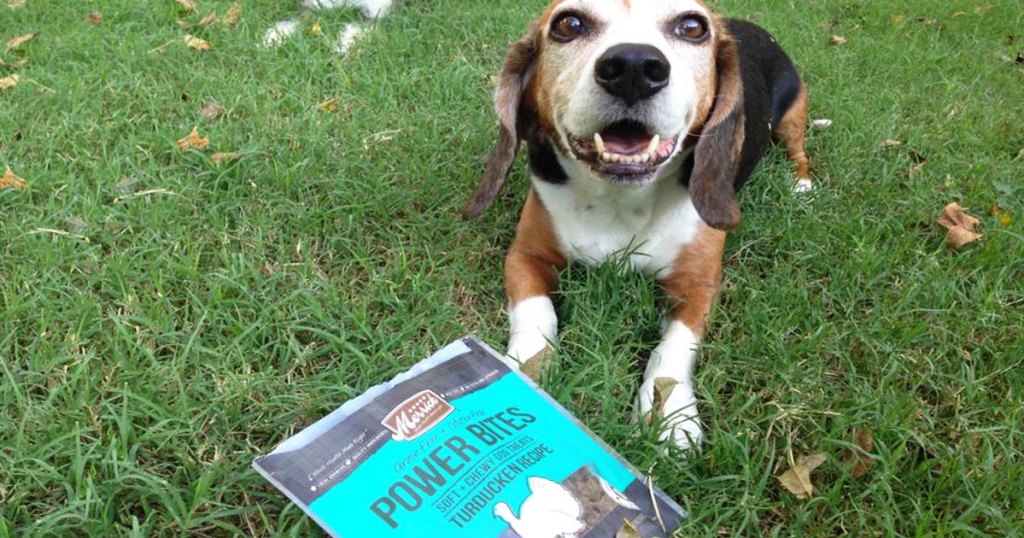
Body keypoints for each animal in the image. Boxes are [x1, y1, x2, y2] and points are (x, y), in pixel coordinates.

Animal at [462, 0, 806, 448]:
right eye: (568, 24)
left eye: (692, 26)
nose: (633, 67)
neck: (620, 199)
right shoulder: (525, 256)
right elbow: (535, 315)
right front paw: (524, 372)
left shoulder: (698, 285)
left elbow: (674, 348)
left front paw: (673, 419)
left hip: (795, 112)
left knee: (799, 149)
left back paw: (802, 184)